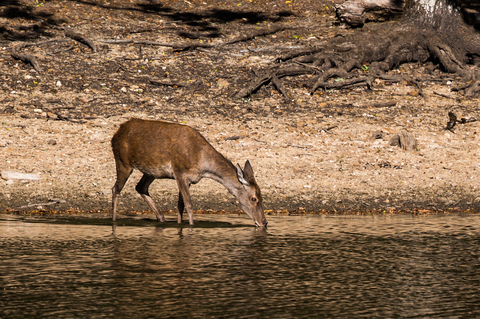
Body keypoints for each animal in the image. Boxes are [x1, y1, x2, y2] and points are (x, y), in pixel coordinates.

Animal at [111, 119, 268, 228]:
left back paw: (161, 218)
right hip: (123, 161)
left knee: (140, 187)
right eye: (254, 198)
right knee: (115, 189)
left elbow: (180, 206)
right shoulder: (179, 172)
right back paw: (113, 221)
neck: (202, 163)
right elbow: (189, 205)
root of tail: (116, 133)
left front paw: (180, 225)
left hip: (151, 172)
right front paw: (191, 226)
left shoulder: (190, 179)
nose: (264, 222)